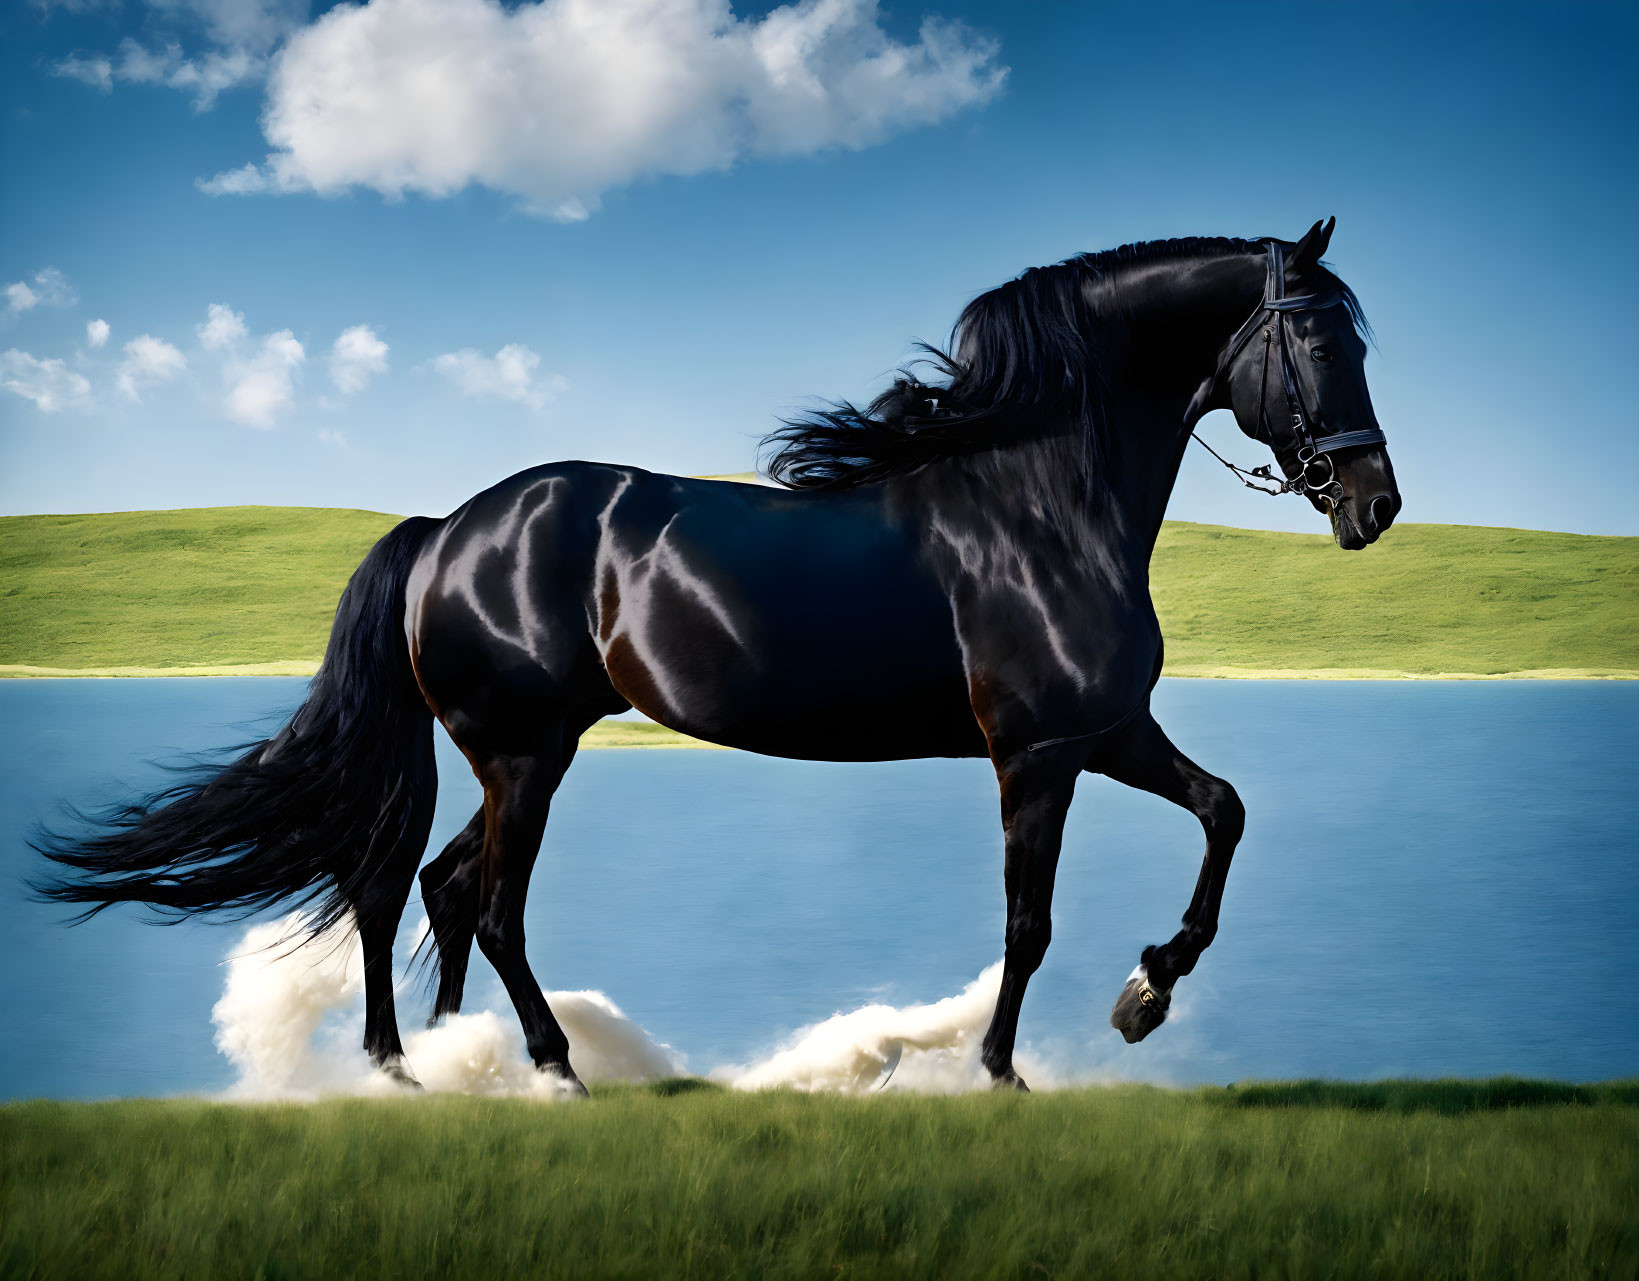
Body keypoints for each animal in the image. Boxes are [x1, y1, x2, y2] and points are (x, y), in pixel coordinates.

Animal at [38, 221, 1396, 1094]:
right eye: (1322, 340)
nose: (1371, 503)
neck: (1037, 504)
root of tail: (443, 532)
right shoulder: (1040, 753)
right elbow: (1027, 920)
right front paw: (1004, 1072)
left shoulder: (1108, 732)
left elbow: (1223, 812)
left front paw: (1145, 995)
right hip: (523, 755)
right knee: (482, 903)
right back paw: (543, 1073)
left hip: (510, 755)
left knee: (420, 886)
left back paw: (430, 1067)